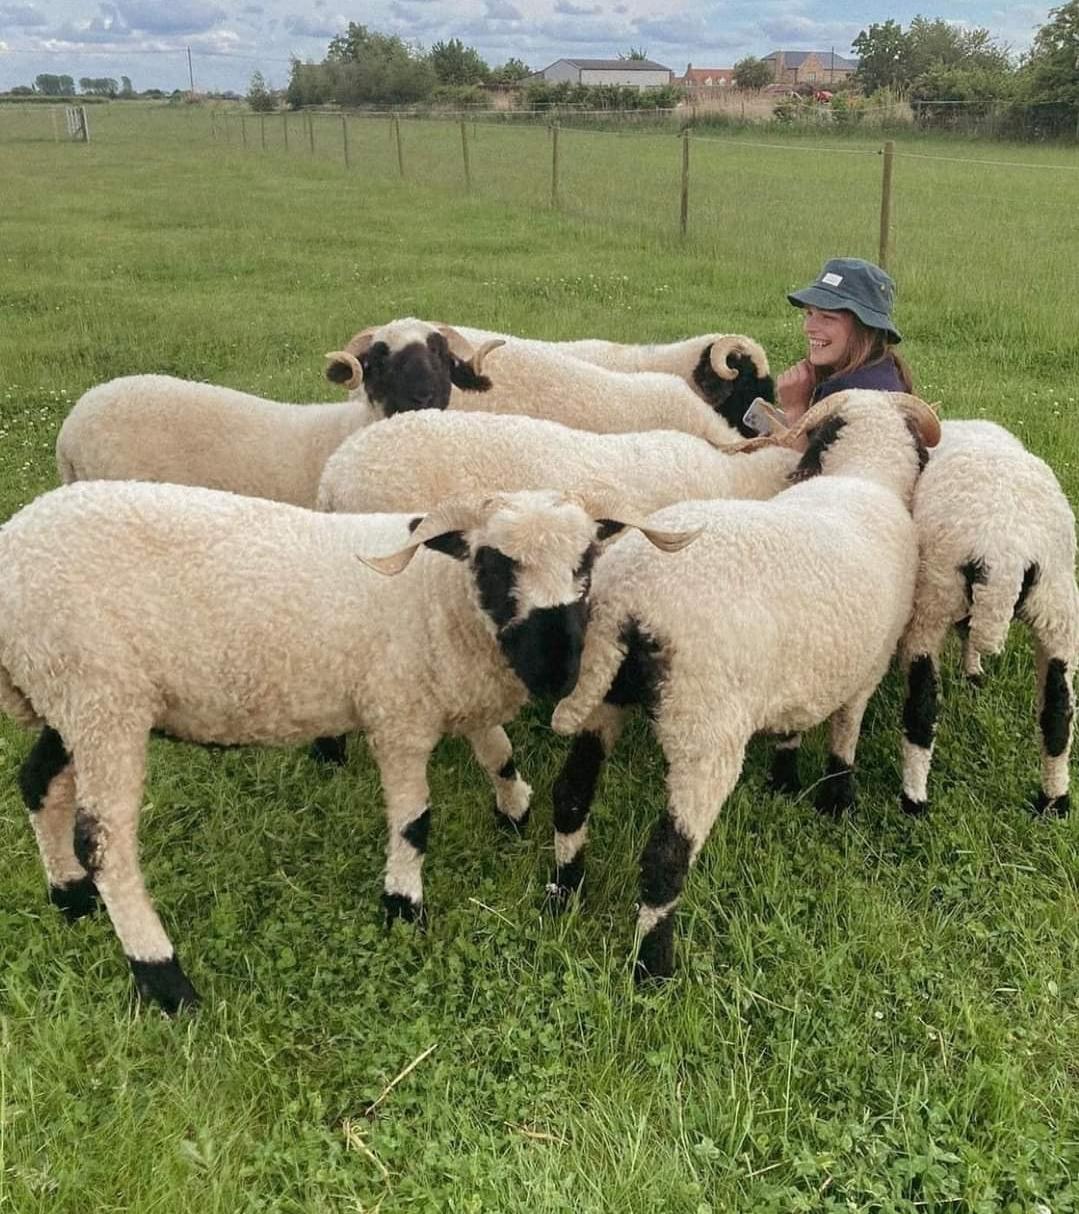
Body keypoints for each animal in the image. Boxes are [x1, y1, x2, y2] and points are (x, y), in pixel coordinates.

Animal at [0, 480, 696, 1012]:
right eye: (494, 565)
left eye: (587, 565)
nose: (557, 673)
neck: (439, 599)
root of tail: (13, 542)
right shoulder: (398, 714)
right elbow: (415, 822)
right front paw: (403, 906)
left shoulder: (450, 691)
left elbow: (497, 752)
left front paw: (514, 810)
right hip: (102, 698)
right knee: (104, 843)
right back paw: (164, 980)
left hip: (66, 696)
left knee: (37, 784)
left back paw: (70, 899)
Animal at [548, 390, 942, 980]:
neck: (865, 475)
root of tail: (628, 596)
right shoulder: (863, 672)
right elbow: (844, 736)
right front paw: (837, 801)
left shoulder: (803, 670)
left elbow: (795, 724)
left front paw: (783, 780)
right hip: (706, 729)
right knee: (665, 855)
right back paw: (653, 967)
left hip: (606, 696)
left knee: (570, 795)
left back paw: (561, 895)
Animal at [899, 419, 1079, 818]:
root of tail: (1004, 550)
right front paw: (974, 671)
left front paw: (972, 670)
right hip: (1057, 610)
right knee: (1058, 712)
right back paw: (1055, 800)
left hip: (933, 599)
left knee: (922, 707)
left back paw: (913, 799)